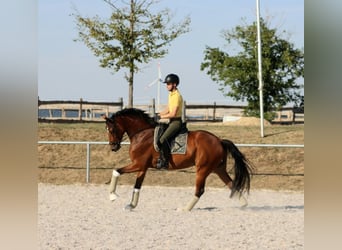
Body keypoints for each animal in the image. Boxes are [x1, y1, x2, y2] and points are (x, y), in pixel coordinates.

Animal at [103, 108, 252, 211]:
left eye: (111, 130)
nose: (113, 147)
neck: (141, 133)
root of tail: (219, 141)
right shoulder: (142, 167)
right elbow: (137, 186)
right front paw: (131, 205)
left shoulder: (137, 164)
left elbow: (116, 171)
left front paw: (112, 196)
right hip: (218, 169)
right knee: (232, 184)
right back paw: (245, 205)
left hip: (202, 169)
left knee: (200, 190)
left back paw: (185, 209)